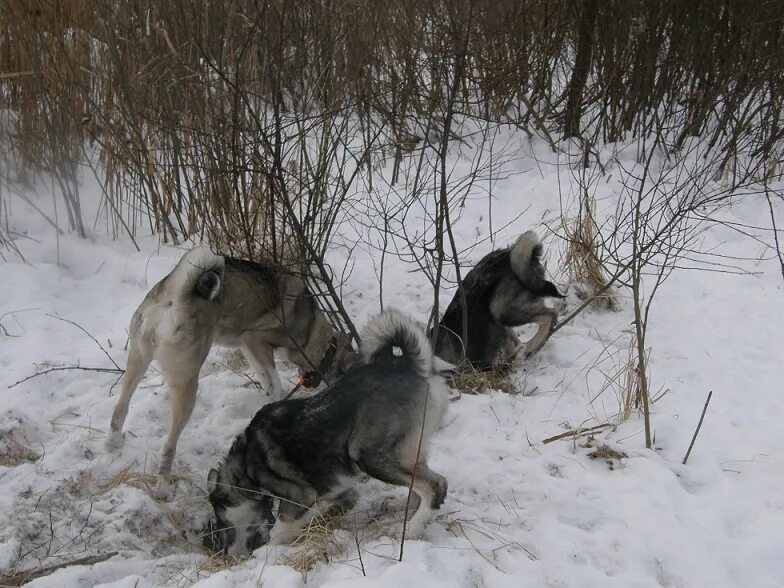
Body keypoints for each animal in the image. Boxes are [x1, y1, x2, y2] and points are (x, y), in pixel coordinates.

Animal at [105, 246, 356, 498]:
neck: (314, 331)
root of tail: (174, 296)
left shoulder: (248, 347)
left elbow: (265, 378)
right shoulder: (255, 338)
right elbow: (275, 383)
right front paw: (276, 399)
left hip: (138, 361)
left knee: (120, 408)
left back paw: (113, 443)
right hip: (186, 382)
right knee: (168, 442)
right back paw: (163, 488)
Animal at [205, 310, 456, 560]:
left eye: (220, 519)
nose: (225, 553)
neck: (245, 462)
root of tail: (409, 364)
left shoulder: (299, 496)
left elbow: (280, 530)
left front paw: (266, 552)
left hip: (370, 456)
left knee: (435, 486)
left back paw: (412, 529)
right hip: (407, 452)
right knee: (418, 485)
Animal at [434, 232, 564, 370]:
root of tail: (508, 255)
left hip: (502, 310)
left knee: (549, 316)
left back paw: (530, 347)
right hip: (499, 316)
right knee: (515, 339)